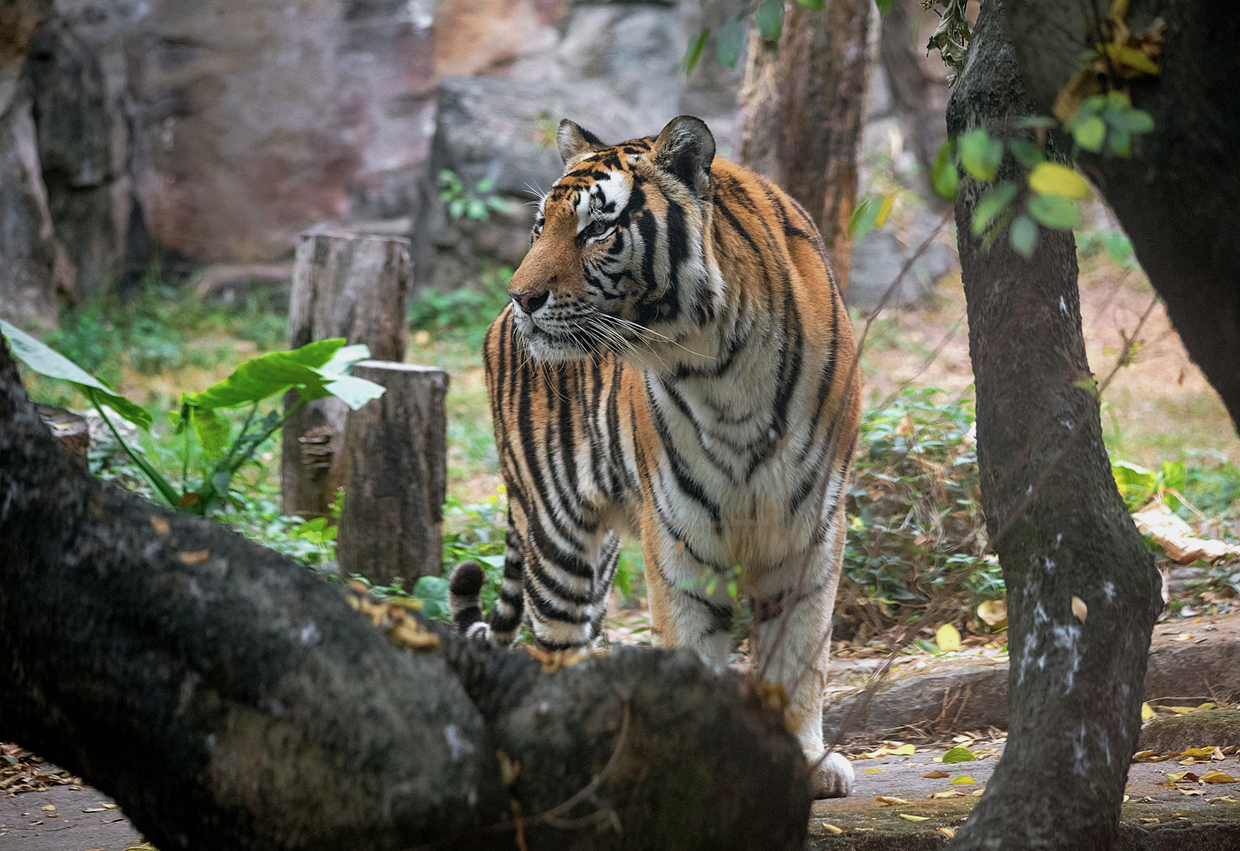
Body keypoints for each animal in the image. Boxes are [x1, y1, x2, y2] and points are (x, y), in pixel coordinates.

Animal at [448, 115, 861, 798]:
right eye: (540, 227)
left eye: (596, 228)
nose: (521, 296)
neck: (722, 369)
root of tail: (492, 325)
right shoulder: (680, 534)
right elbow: (692, 653)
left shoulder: (810, 527)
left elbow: (800, 656)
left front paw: (805, 758)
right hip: (557, 541)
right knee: (555, 651)